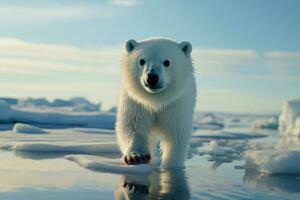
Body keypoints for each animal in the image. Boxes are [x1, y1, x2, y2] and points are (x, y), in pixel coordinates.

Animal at [115, 38, 197, 169]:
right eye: (141, 61)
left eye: (167, 62)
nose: (152, 77)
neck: (155, 101)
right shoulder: (136, 103)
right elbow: (133, 125)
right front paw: (136, 156)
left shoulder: (175, 105)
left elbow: (176, 134)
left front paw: (170, 165)